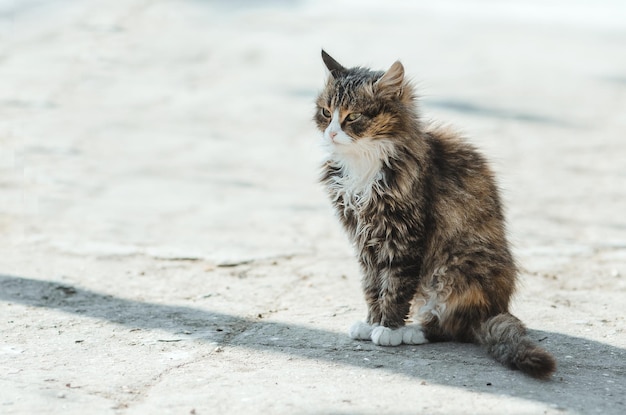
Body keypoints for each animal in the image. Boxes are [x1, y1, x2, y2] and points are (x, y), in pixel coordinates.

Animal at [312, 49, 556, 380]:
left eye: (353, 117)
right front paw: (371, 321)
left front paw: (387, 328)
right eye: (326, 112)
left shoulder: (404, 238)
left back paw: (412, 331)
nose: (332, 133)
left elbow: (394, 286)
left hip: (455, 268)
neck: (362, 162)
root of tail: (496, 309)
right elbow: (372, 285)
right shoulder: (365, 239)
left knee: (454, 327)